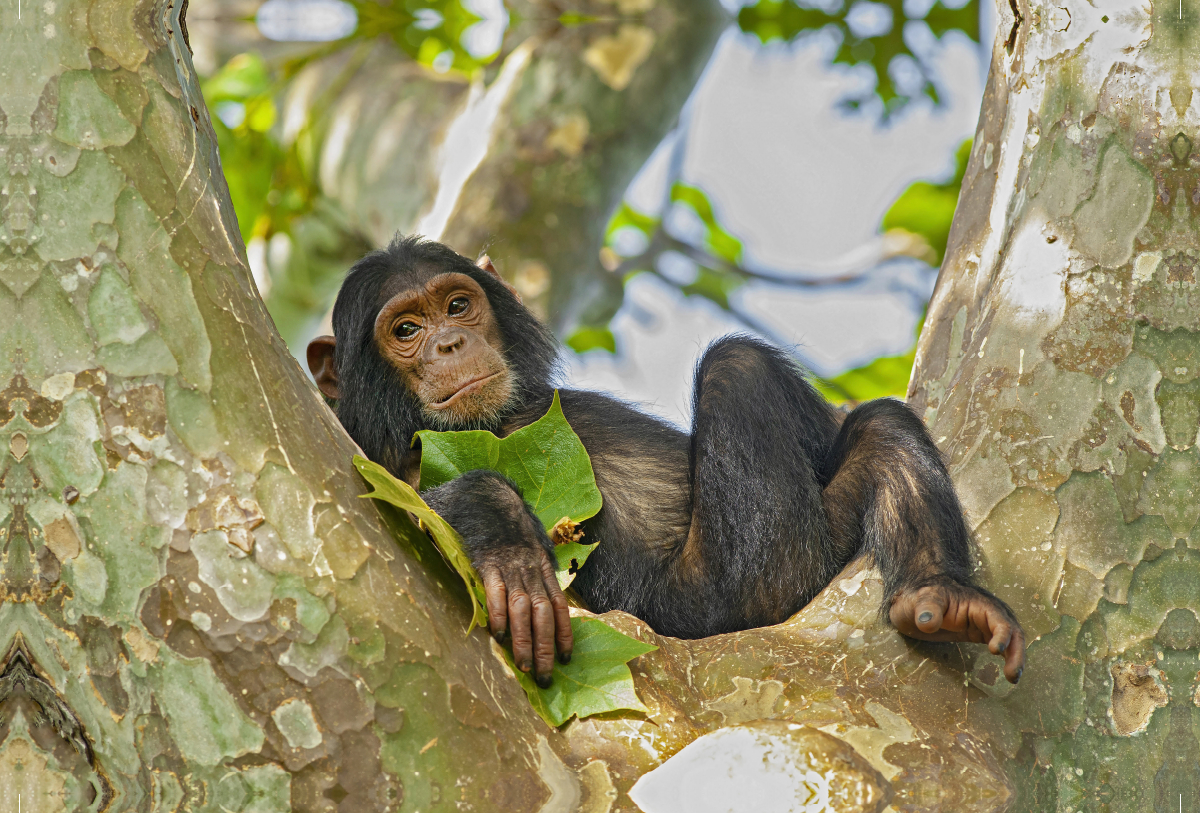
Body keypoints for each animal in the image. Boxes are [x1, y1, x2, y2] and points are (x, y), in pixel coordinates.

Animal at [307, 236, 1022, 685]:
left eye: (457, 305)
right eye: (406, 330)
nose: (451, 342)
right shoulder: (385, 462)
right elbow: (407, 502)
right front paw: (509, 546)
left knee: (878, 430)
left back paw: (941, 595)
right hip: (743, 591)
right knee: (737, 366)